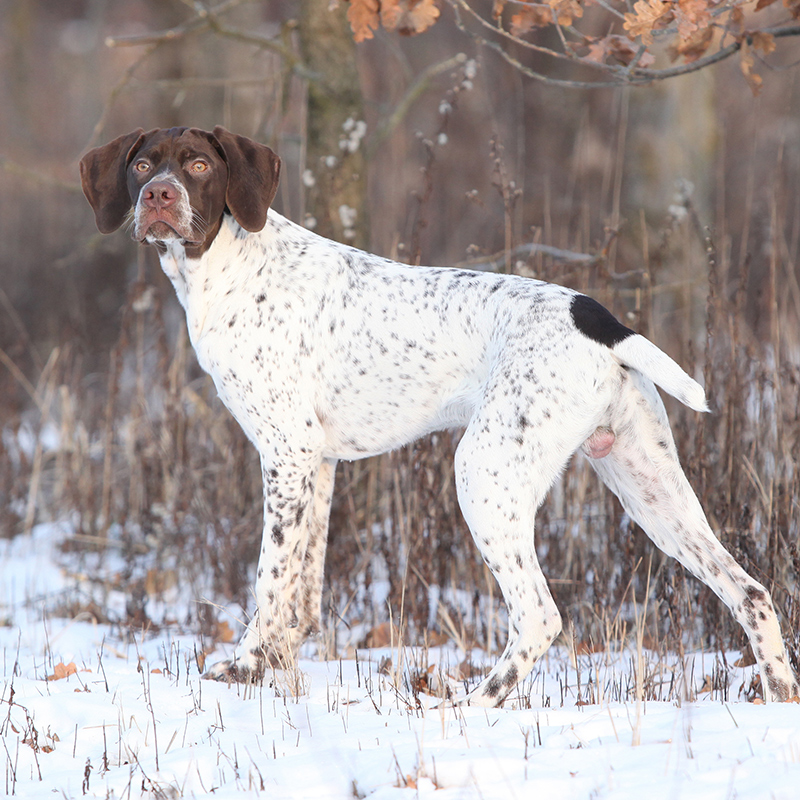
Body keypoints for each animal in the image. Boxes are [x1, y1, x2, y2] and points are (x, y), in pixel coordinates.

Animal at [79, 126, 792, 708]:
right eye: (142, 165)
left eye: (198, 165)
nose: (159, 197)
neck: (228, 267)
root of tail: (597, 317)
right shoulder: (317, 464)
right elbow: (302, 592)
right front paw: (278, 671)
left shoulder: (284, 455)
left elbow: (270, 582)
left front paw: (246, 670)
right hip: (651, 488)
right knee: (750, 591)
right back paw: (779, 694)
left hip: (485, 474)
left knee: (539, 616)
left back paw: (473, 704)